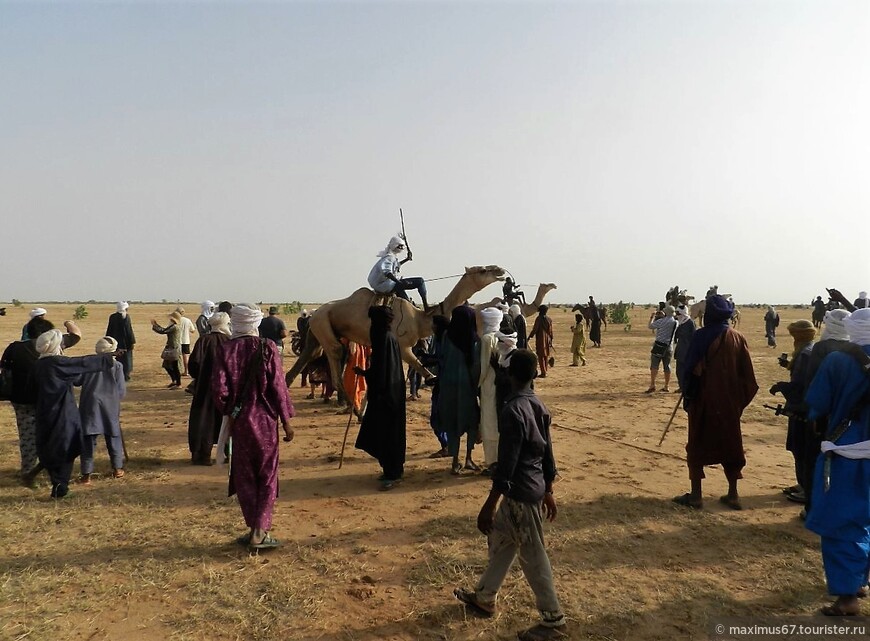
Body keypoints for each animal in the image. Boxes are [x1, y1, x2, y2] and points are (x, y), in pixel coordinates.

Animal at [288, 264, 504, 404]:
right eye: (483, 270)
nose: (500, 270)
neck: (420, 319)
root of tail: (314, 313)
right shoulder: (403, 345)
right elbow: (421, 369)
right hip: (323, 323)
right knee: (335, 351)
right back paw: (350, 406)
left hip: (317, 329)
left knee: (308, 355)